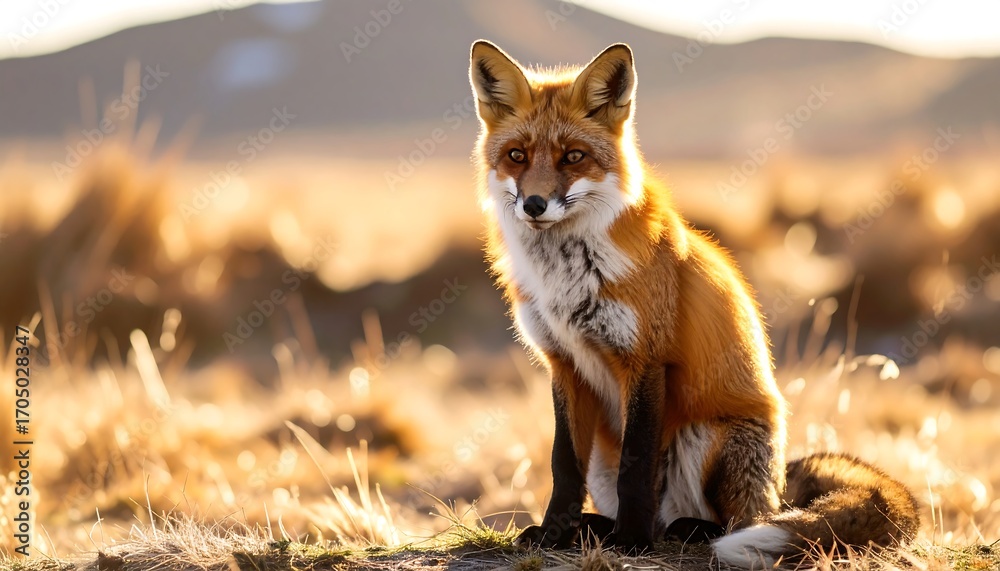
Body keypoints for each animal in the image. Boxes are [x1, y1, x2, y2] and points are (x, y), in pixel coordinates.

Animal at [468, 40, 919, 568]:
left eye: (573, 157)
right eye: (517, 156)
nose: (534, 205)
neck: (565, 274)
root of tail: (778, 487)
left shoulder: (646, 359)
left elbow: (638, 466)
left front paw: (632, 540)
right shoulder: (563, 363)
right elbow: (563, 465)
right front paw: (554, 533)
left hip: (708, 437)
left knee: (736, 520)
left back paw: (675, 530)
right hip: (606, 452)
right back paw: (596, 527)